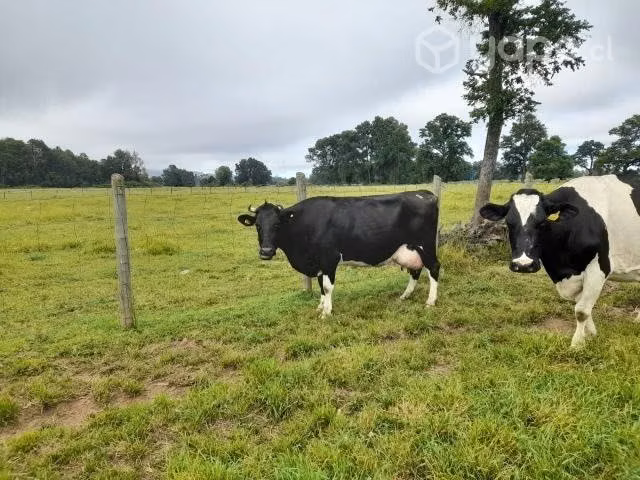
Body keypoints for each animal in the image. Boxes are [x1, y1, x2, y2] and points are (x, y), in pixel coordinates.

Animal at [237, 191, 441, 317]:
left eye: (277, 225)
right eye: (257, 225)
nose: (266, 252)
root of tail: (425, 193)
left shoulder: (329, 259)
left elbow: (327, 287)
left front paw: (326, 312)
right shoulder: (318, 263)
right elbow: (320, 285)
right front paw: (320, 307)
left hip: (425, 245)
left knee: (434, 268)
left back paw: (430, 302)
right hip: (412, 249)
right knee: (416, 271)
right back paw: (405, 296)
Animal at [480, 174, 640, 348]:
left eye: (542, 222)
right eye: (508, 223)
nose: (523, 265)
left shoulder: (599, 268)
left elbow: (581, 311)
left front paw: (577, 344)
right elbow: (582, 306)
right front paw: (591, 334)